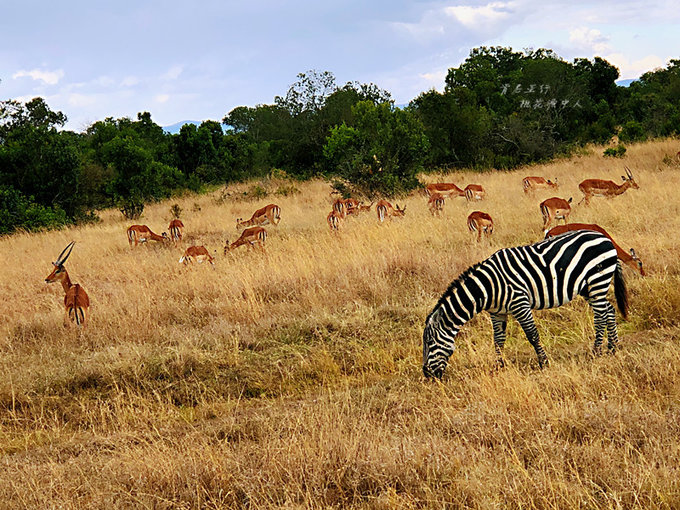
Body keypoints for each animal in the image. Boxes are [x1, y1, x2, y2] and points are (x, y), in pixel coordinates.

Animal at [422, 231, 628, 378]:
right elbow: (498, 340)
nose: (427, 375)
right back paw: (612, 348)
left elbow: (532, 335)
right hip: (588, 287)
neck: (487, 287)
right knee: (609, 310)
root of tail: (604, 237)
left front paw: (544, 363)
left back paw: (596, 352)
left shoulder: (520, 303)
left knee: (600, 316)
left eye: (430, 343)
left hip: (597, 280)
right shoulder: (497, 312)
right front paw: (498, 366)